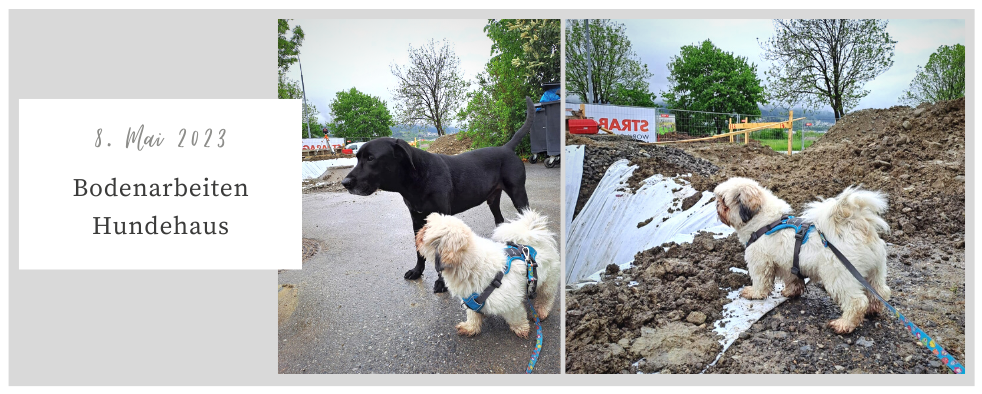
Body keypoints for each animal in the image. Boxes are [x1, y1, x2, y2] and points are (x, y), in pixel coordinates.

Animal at [342, 95, 536, 292]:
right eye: (357, 158)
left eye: (370, 158)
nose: (345, 183)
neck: (417, 178)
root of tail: (506, 148)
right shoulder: (416, 219)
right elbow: (418, 250)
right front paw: (417, 271)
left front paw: (442, 282)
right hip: (493, 199)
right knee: (499, 219)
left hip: (518, 194)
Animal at [416, 211, 560, 338]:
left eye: (424, 234)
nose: (418, 232)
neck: (470, 266)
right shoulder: (470, 298)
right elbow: (473, 316)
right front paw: (470, 328)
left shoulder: (511, 304)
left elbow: (517, 317)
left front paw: (521, 329)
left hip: (547, 284)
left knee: (546, 299)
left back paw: (541, 311)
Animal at [716, 177, 892, 334]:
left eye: (724, 201)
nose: (717, 205)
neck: (764, 223)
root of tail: (856, 226)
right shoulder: (789, 263)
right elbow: (793, 280)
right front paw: (791, 292)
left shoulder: (759, 262)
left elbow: (761, 282)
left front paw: (753, 293)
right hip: (875, 271)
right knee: (880, 292)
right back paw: (874, 310)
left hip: (839, 276)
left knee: (857, 302)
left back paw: (844, 324)